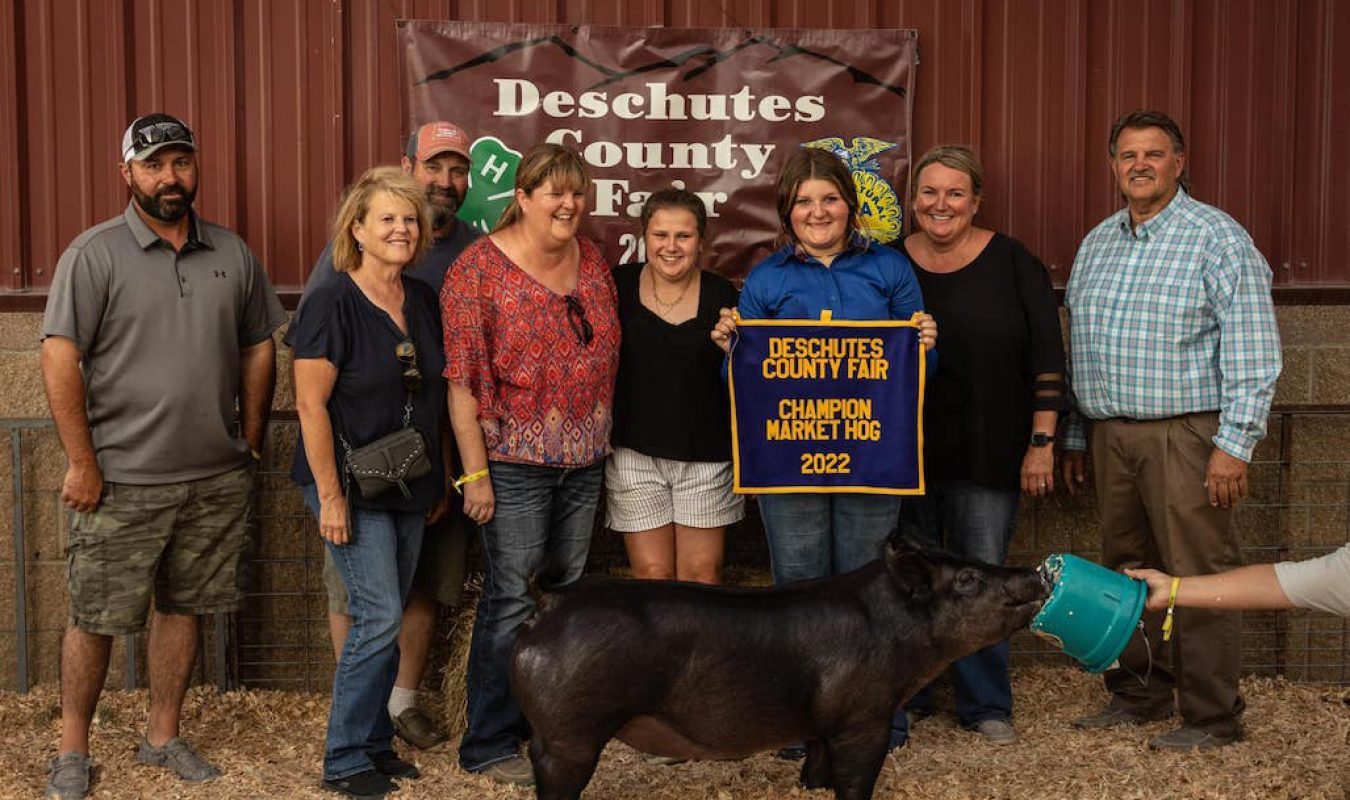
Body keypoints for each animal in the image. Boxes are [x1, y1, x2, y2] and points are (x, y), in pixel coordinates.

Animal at [510, 531, 1047, 798]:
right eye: (968, 580)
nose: (1034, 572)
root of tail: (551, 602)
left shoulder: (822, 726)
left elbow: (815, 765)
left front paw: (808, 787)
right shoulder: (862, 719)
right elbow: (857, 779)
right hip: (570, 733)